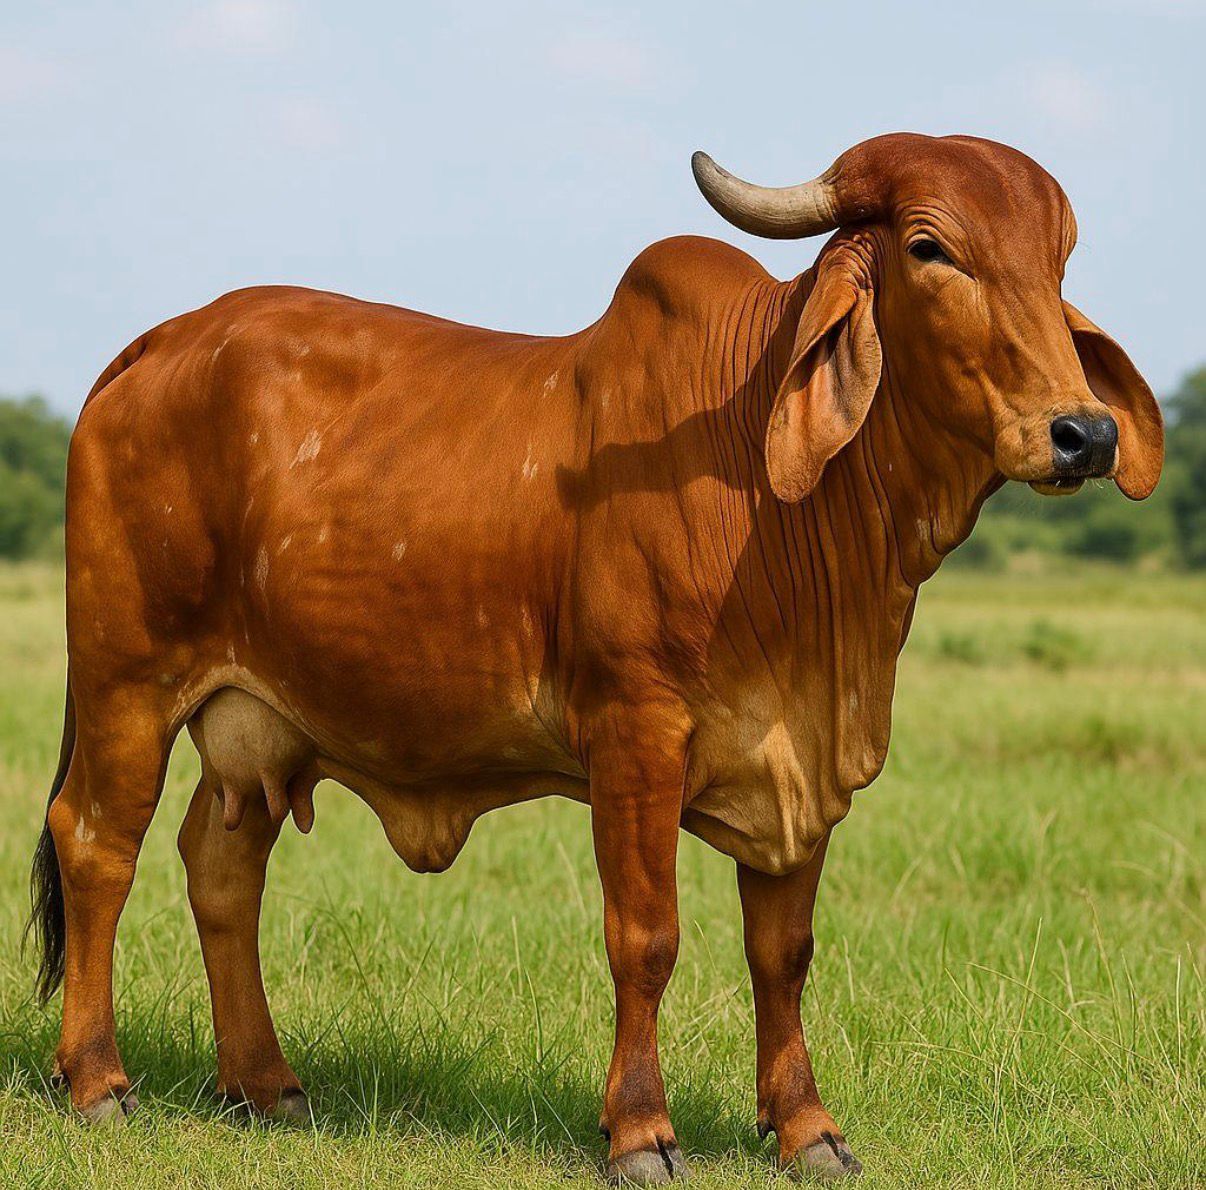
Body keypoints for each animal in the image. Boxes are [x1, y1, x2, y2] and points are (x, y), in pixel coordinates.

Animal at [28, 133, 1162, 1184]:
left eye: (1058, 259)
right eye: (931, 248)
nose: (1084, 432)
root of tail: (152, 345)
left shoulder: (802, 760)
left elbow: (783, 954)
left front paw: (807, 1129)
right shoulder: (635, 733)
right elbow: (645, 936)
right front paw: (640, 1132)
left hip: (259, 724)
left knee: (222, 869)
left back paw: (264, 1084)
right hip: (129, 680)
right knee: (96, 844)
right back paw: (98, 1082)